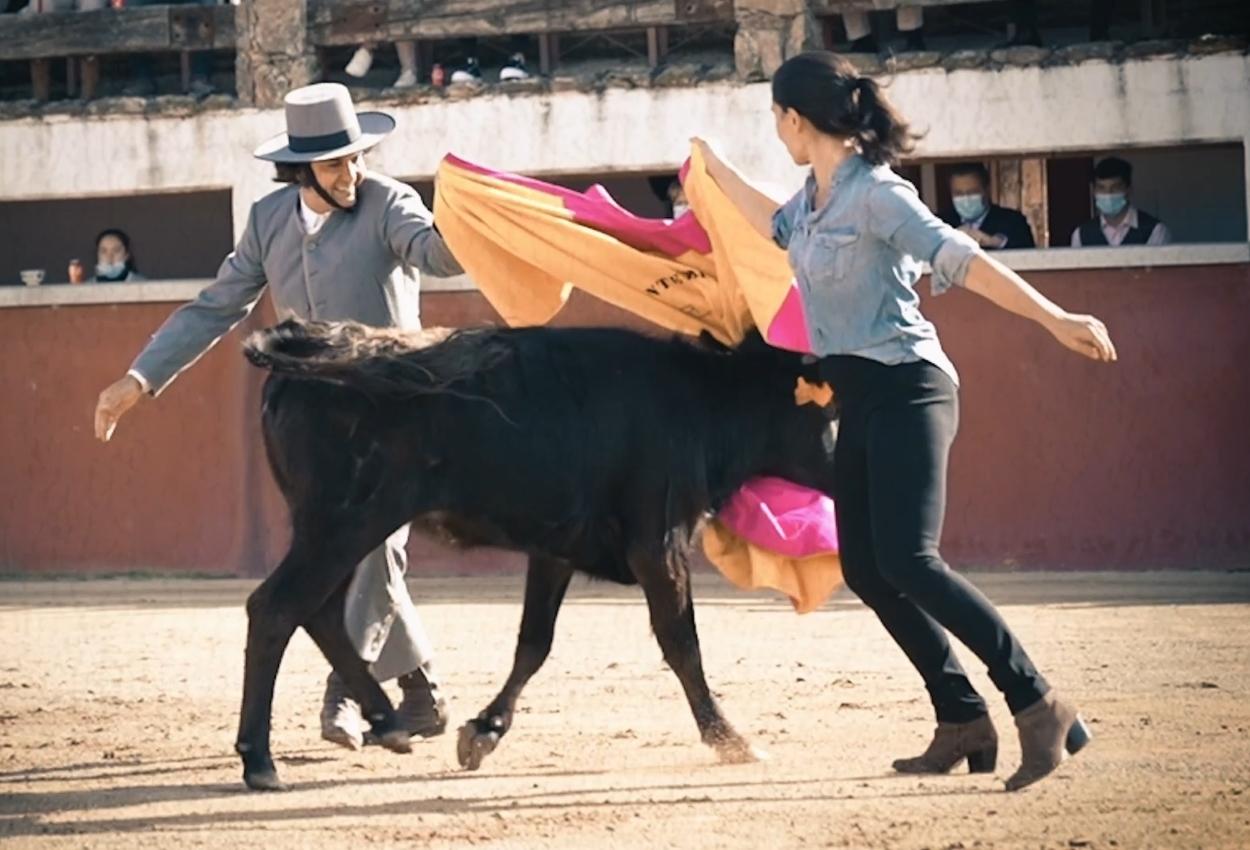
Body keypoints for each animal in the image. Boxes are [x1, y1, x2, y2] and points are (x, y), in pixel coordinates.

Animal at [235, 318, 840, 790]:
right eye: (826, 409)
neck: (703, 402)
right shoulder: (657, 543)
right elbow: (681, 641)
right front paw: (729, 738)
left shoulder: (556, 549)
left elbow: (534, 642)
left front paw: (483, 732)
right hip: (343, 523)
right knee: (277, 608)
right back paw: (261, 761)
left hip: (339, 529)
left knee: (318, 613)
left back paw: (387, 723)